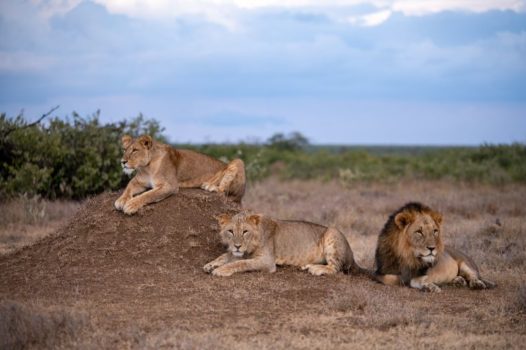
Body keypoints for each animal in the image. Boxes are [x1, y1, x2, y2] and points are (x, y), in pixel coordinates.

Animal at [114, 135, 246, 215]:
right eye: (124, 150)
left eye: (135, 150)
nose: (122, 162)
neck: (147, 167)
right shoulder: (138, 181)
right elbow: (128, 188)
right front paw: (121, 200)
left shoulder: (169, 186)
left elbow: (148, 195)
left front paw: (131, 204)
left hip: (238, 162)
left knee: (225, 192)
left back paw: (210, 186)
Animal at [202, 212, 368, 278]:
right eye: (230, 231)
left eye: (245, 231)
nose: (237, 246)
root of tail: (353, 256)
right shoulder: (241, 254)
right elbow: (226, 256)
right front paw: (210, 264)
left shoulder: (267, 261)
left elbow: (241, 263)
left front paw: (221, 270)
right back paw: (308, 266)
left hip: (332, 233)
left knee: (335, 268)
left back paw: (316, 269)